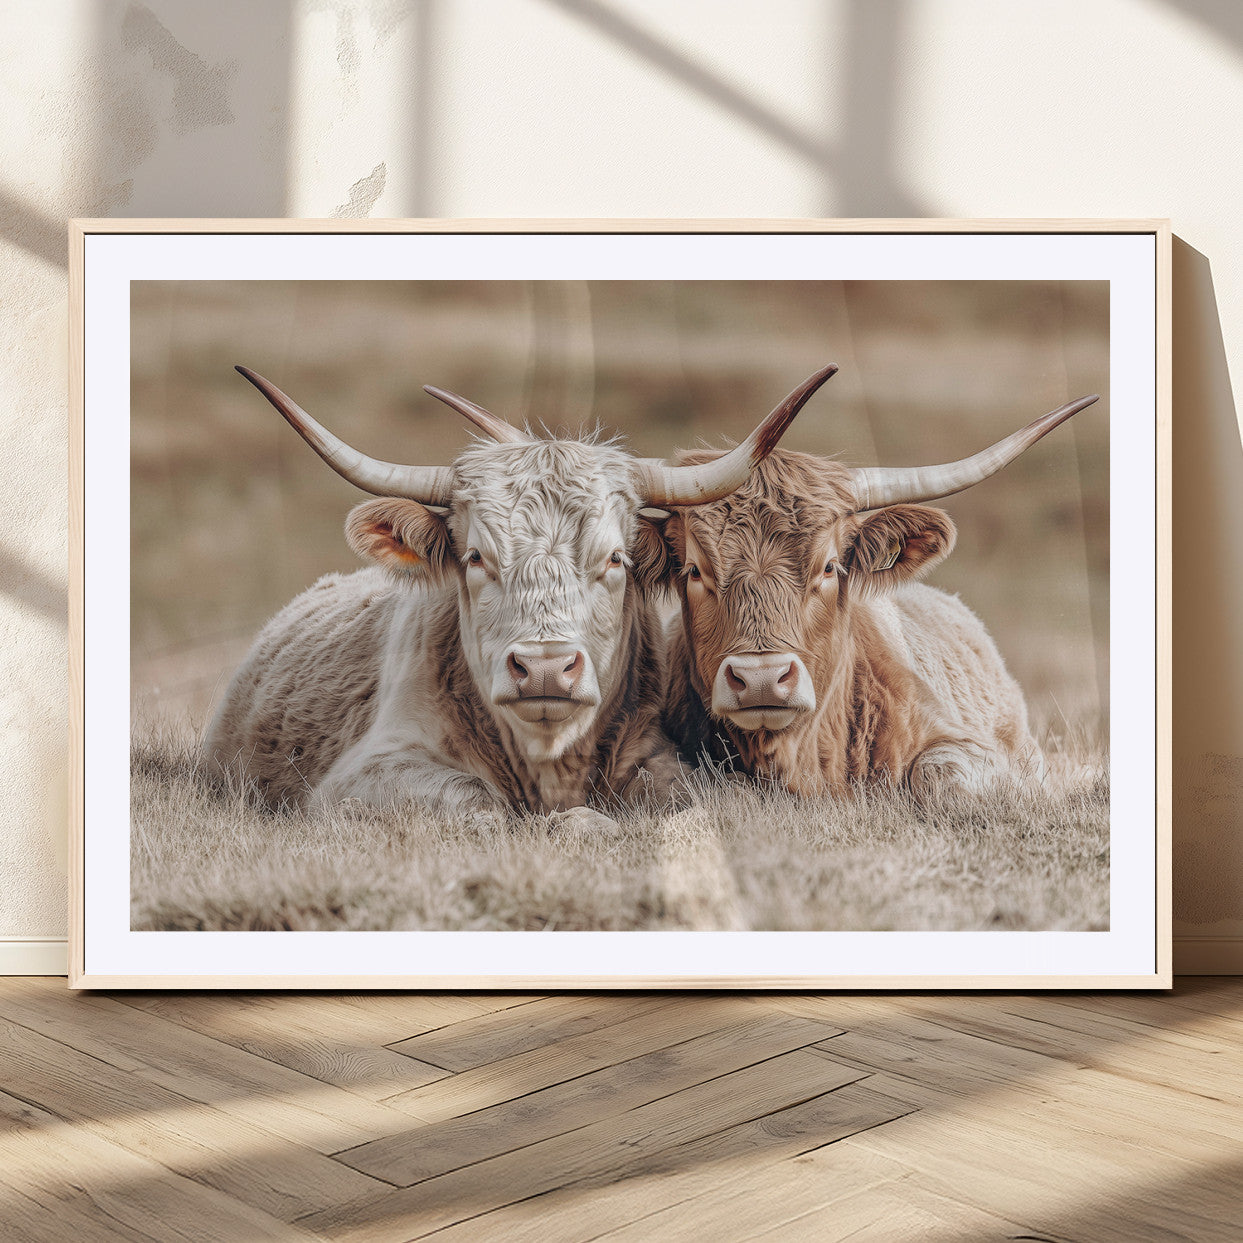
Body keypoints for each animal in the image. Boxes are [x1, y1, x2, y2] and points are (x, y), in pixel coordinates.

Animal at [202, 364, 836, 822]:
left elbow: (706, 797)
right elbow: (477, 803)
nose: (545, 669)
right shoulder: (365, 774)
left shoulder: (661, 757)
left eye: (615, 558)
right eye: (476, 557)